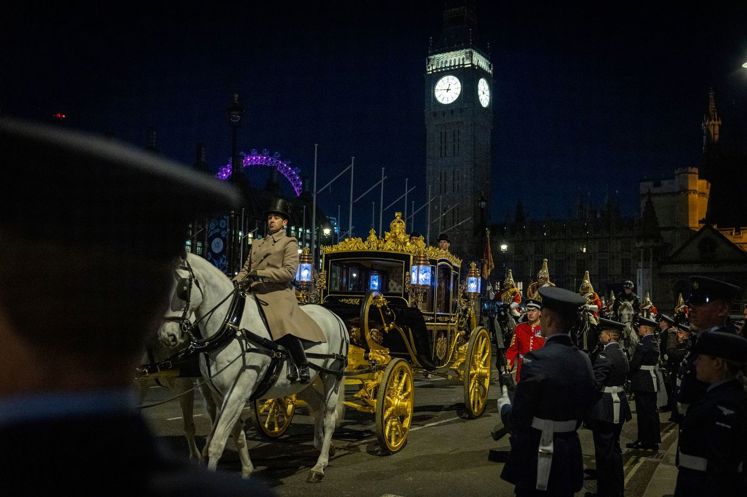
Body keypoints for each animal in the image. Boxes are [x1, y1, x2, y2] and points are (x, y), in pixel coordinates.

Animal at [159, 252, 350, 480]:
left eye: (183, 288)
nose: (167, 336)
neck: (231, 326)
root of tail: (334, 315)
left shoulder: (238, 391)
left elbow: (217, 442)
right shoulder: (222, 394)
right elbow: (237, 435)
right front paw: (247, 470)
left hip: (332, 375)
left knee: (329, 417)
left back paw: (320, 465)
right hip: (302, 383)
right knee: (317, 405)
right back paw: (321, 446)